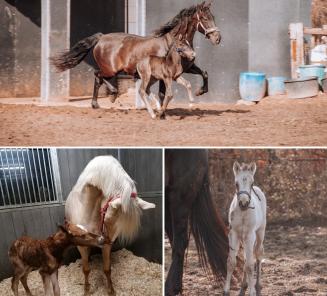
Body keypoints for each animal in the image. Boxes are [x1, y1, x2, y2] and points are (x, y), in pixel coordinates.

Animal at [224, 162, 268, 296]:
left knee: (258, 254)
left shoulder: (250, 235)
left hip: (260, 232)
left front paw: (252, 291)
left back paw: (257, 285)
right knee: (245, 258)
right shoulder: (234, 233)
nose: (244, 203)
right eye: (236, 183)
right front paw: (226, 290)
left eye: (251, 183)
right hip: (243, 238)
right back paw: (243, 286)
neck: (243, 213)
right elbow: (231, 262)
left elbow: (249, 265)